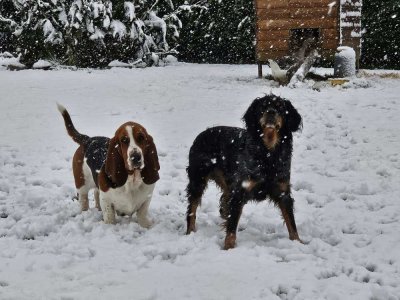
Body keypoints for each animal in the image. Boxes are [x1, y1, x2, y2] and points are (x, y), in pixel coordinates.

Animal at [186, 95, 302, 250]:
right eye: (263, 106)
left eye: (280, 107)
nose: (271, 112)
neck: (268, 152)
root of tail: (201, 134)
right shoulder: (240, 190)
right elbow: (232, 224)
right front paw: (229, 247)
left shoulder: (283, 191)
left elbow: (291, 223)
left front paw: (298, 243)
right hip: (198, 178)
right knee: (192, 208)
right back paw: (190, 232)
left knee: (223, 202)